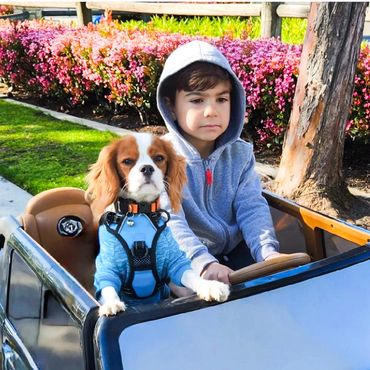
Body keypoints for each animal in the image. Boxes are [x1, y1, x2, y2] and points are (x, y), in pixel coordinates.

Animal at [85, 132, 228, 316]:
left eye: (159, 158)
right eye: (127, 161)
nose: (147, 168)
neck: (139, 213)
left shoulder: (175, 262)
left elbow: (190, 274)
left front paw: (209, 286)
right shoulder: (107, 267)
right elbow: (108, 286)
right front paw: (111, 304)